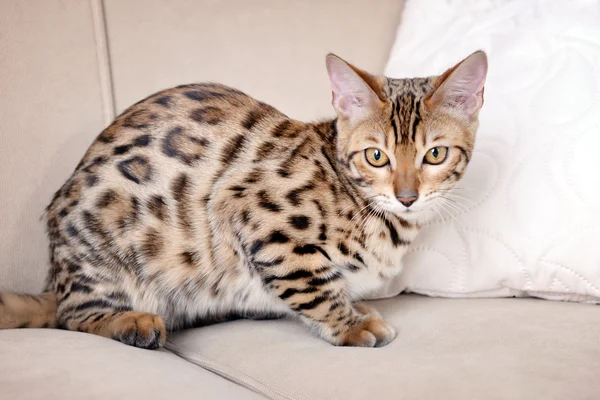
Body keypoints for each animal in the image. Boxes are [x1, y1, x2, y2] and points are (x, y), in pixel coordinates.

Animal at [0, 50, 488, 348]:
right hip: (104, 240)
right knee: (72, 315)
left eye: (435, 154)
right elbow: (313, 286)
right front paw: (350, 323)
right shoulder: (252, 213)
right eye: (376, 156)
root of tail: (55, 275)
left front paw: (354, 305)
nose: (407, 197)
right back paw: (130, 321)